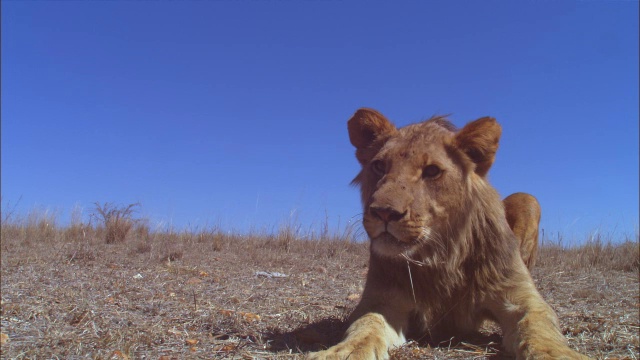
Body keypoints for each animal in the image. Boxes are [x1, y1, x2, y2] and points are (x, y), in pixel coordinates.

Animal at [310, 109, 592, 360]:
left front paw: (560, 355)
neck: (440, 256)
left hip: (528, 200)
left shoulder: (522, 297)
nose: (384, 213)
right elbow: (365, 326)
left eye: (432, 171)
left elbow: (540, 328)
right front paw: (343, 351)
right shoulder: (382, 300)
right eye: (379, 166)